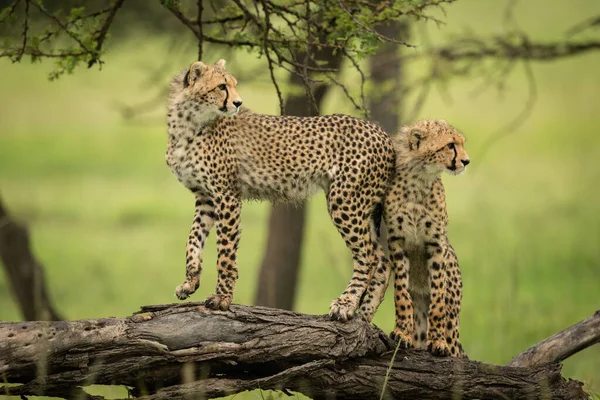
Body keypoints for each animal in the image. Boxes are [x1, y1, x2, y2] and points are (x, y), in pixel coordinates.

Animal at [166, 59, 396, 320]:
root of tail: (381, 132)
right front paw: (189, 283)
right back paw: (364, 315)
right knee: (383, 261)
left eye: (233, 85)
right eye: (222, 86)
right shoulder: (205, 198)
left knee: (368, 257)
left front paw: (222, 298)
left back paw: (346, 304)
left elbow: (225, 252)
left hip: (345, 201)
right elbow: (193, 238)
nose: (238, 103)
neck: (188, 122)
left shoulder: (227, 196)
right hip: (363, 207)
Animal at [372, 119, 472, 356]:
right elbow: (401, 292)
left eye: (461, 143)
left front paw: (438, 341)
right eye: (450, 145)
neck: (419, 178)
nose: (466, 161)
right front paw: (402, 332)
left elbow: (438, 296)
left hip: (454, 321)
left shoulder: (436, 243)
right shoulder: (397, 241)